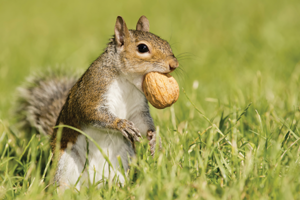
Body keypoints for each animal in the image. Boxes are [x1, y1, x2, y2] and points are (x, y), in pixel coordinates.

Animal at [16, 16, 178, 191]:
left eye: (166, 43)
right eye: (142, 48)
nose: (174, 64)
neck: (127, 80)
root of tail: (92, 185)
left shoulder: (138, 108)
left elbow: (143, 123)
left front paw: (154, 139)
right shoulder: (92, 90)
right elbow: (92, 113)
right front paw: (121, 124)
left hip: (123, 158)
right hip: (66, 161)